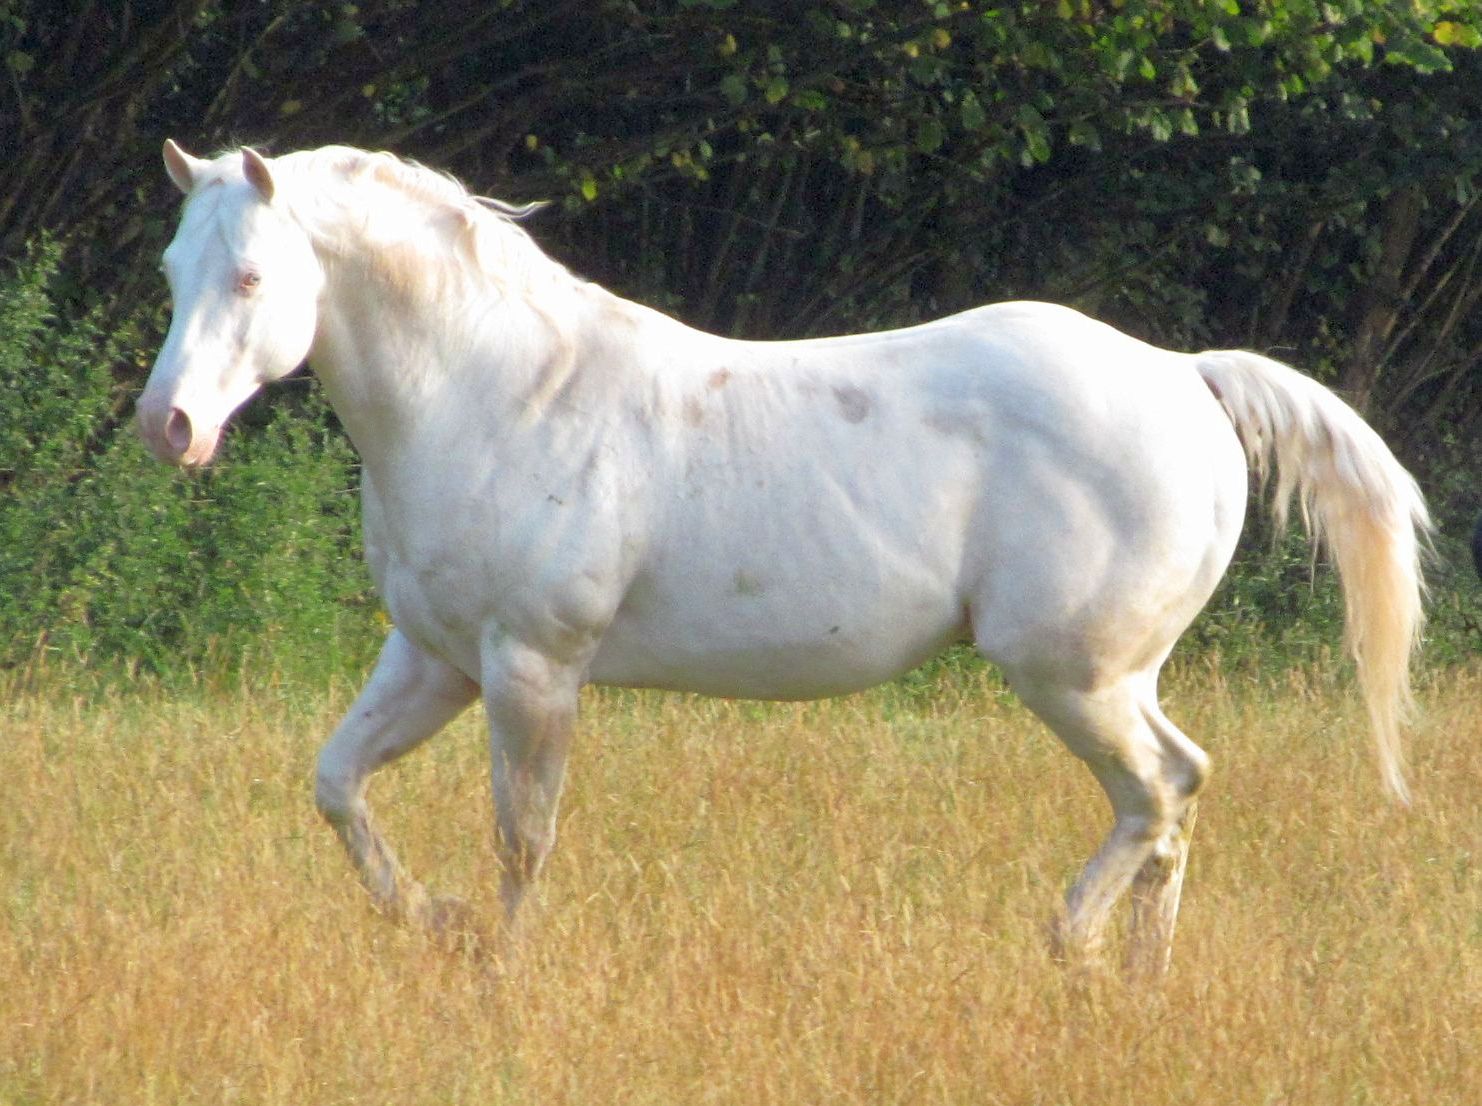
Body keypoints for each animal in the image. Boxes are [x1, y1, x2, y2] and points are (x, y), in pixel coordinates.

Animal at [141, 140, 1434, 972]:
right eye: (171, 272)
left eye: (250, 275)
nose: (171, 426)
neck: (501, 392)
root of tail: (1183, 373)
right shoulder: (434, 658)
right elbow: (339, 785)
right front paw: (441, 923)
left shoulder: (531, 668)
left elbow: (523, 837)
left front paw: (502, 973)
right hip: (1119, 674)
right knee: (1178, 793)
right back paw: (1138, 982)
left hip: (1070, 673)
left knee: (1159, 791)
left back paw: (1069, 945)